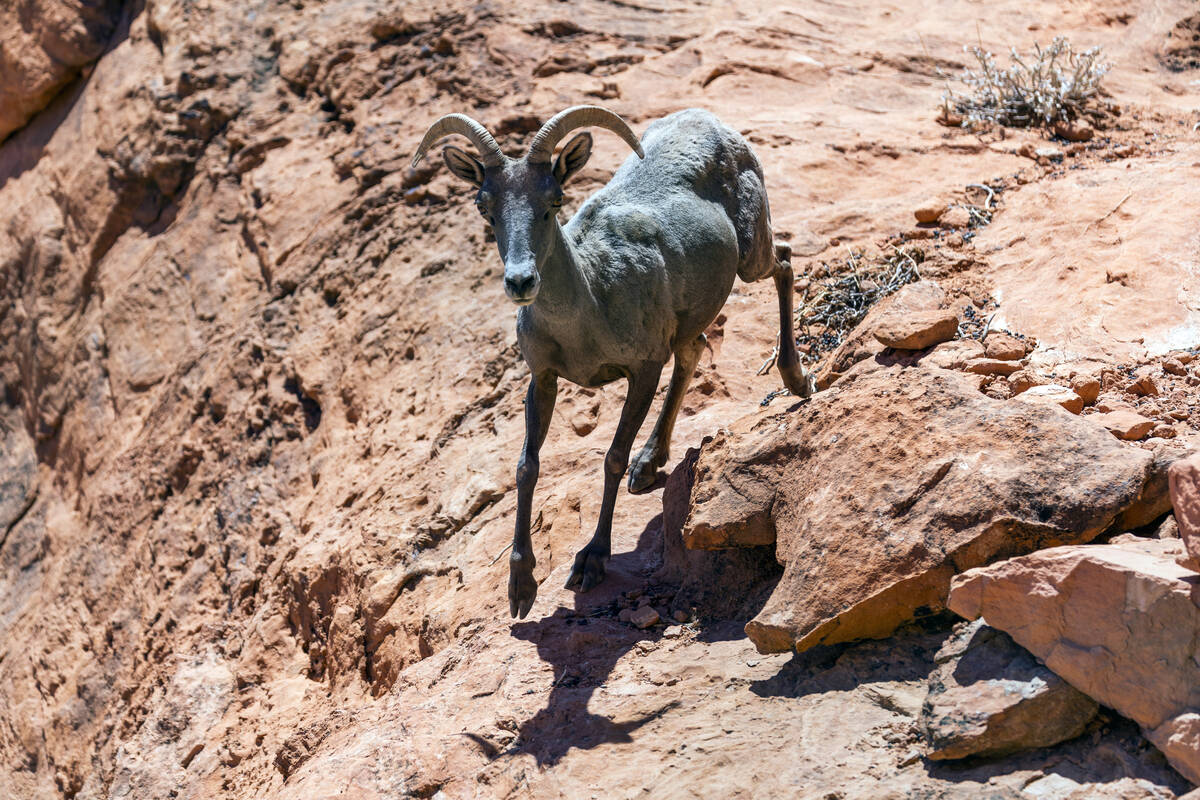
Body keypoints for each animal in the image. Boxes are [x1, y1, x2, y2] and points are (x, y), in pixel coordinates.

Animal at [412, 104, 816, 618]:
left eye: (554, 201)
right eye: (486, 208)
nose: (521, 282)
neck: (590, 303)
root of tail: (710, 120)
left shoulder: (643, 370)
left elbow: (611, 458)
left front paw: (591, 562)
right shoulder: (542, 379)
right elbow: (527, 466)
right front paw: (520, 588)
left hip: (751, 256)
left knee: (783, 261)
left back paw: (797, 380)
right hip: (695, 314)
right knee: (695, 349)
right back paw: (650, 465)